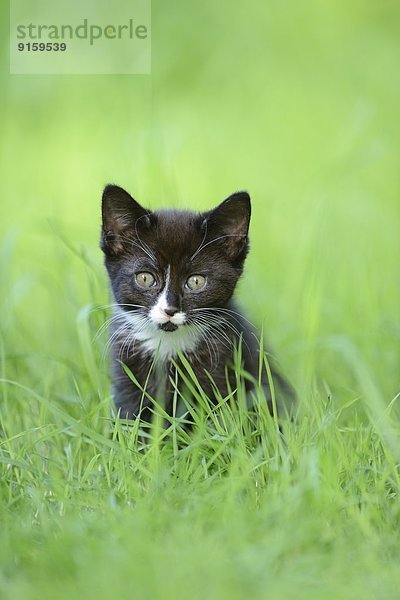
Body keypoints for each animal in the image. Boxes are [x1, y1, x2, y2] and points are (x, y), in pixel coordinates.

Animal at [101, 184, 294, 422]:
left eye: (195, 281)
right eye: (145, 278)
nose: (170, 309)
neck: (169, 344)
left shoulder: (222, 367)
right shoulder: (126, 371)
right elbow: (129, 417)